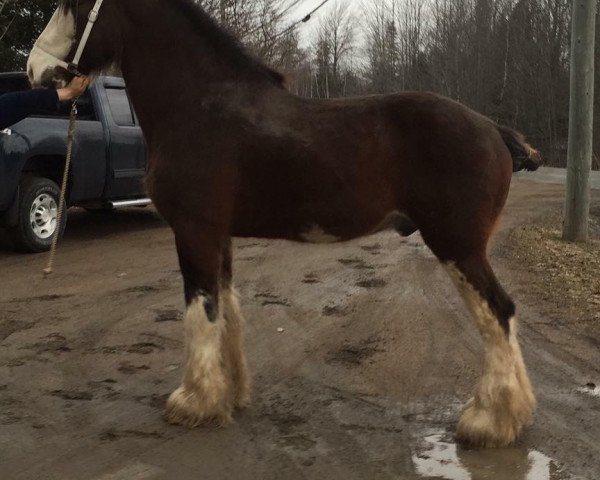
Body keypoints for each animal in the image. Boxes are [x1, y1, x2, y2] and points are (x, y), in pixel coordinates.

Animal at [28, 0, 540, 450]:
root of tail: (494, 130)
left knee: (499, 312)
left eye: (76, 5)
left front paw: (194, 402)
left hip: (458, 246)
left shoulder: (193, 231)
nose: (35, 70)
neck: (199, 106)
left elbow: (200, 310)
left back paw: (490, 422)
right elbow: (226, 308)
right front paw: (230, 394)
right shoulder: (219, 236)